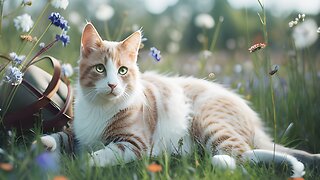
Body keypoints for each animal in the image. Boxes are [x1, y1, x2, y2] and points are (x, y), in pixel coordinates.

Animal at [40, 22, 320, 177]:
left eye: (122, 71)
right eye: (100, 68)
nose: (112, 84)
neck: (100, 107)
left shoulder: (134, 143)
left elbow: (105, 153)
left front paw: (86, 163)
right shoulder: (79, 132)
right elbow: (64, 136)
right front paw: (45, 143)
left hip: (209, 121)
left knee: (243, 159)